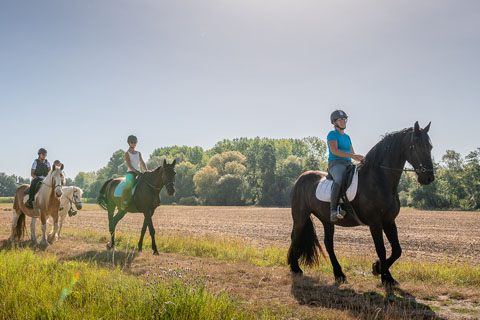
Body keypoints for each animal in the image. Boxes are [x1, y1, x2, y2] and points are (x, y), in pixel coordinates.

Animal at [286, 122, 436, 288]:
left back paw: (339, 274)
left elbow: (397, 250)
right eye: (417, 145)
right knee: (295, 237)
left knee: (328, 244)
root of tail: (300, 178)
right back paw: (296, 268)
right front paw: (385, 277)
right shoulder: (375, 223)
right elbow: (381, 249)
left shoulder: (389, 221)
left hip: (326, 220)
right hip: (300, 217)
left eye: (430, 146)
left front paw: (378, 269)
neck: (379, 179)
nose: (429, 178)